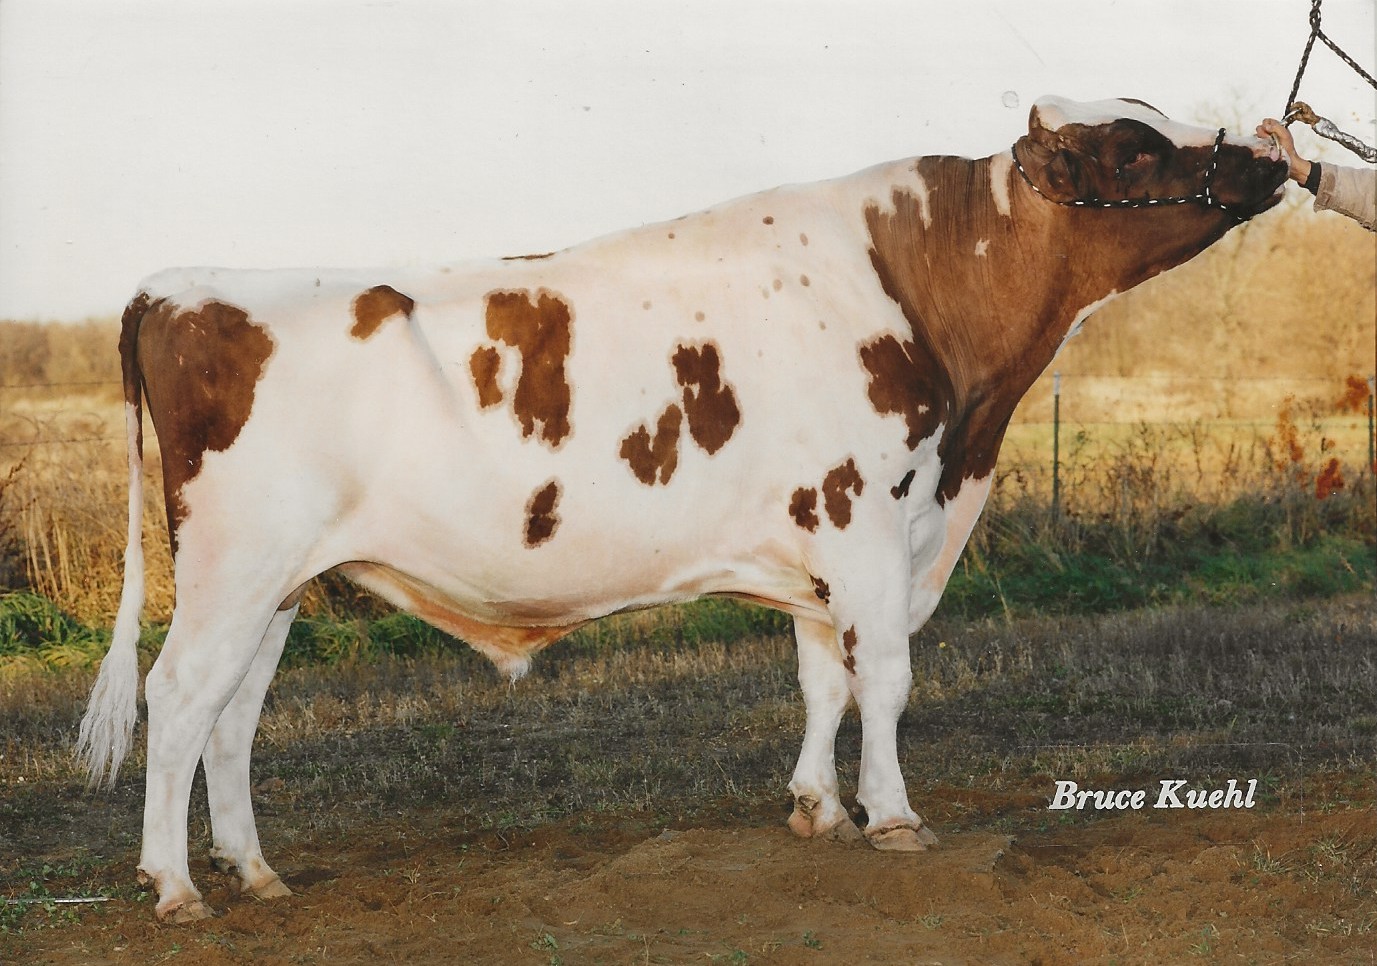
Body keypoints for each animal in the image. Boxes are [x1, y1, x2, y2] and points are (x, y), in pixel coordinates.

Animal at [78, 96, 1288, 921]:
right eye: (1134, 146)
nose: (1267, 155)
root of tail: (180, 286)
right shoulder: (868, 517)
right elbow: (886, 677)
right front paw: (893, 818)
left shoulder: (824, 538)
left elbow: (824, 678)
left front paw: (817, 808)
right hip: (234, 565)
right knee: (178, 698)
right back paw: (174, 886)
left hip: (279, 582)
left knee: (232, 715)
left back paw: (255, 871)